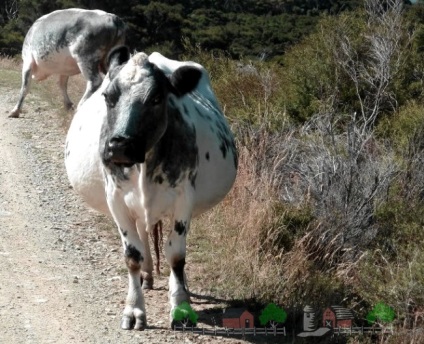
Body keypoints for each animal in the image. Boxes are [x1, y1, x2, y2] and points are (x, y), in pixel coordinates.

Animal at [65, 46, 238, 330]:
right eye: (108, 96)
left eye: (157, 98)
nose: (120, 145)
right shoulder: (116, 199)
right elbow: (132, 255)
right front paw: (134, 309)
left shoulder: (184, 198)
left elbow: (176, 255)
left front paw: (181, 307)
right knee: (142, 234)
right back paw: (146, 275)